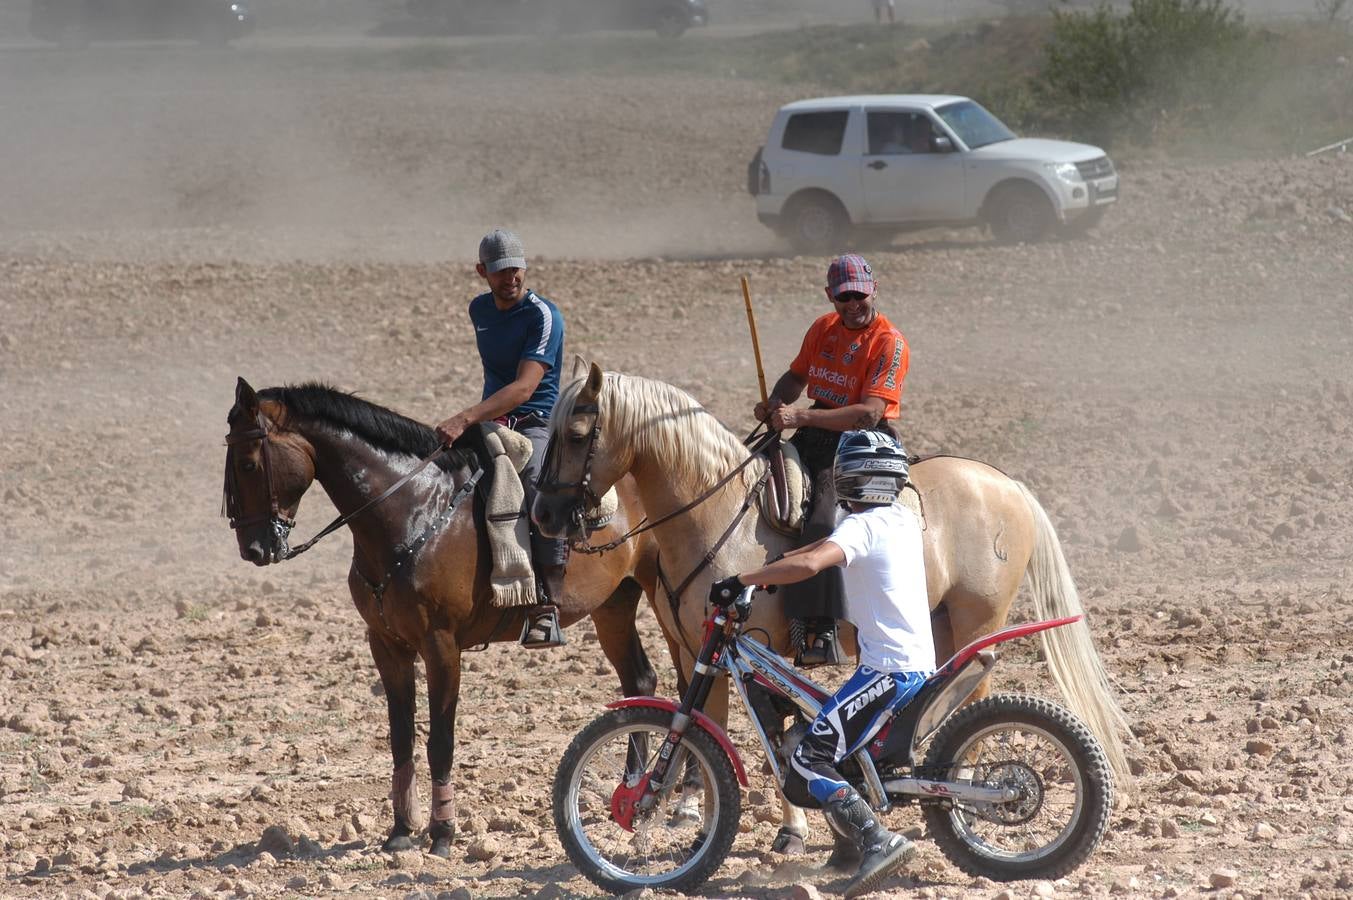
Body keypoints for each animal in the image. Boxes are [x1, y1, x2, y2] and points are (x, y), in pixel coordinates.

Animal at [223, 378, 660, 855]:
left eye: (248, 463)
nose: (254, 549)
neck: (413, 511)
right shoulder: (387, 644)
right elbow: (401, 737)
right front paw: (400, 829)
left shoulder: (441, 646)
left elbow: (440, 741)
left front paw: (443, 832)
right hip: (615, 606)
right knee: (640, 681)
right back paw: (635, 791)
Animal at [533, 362, 1136, 849]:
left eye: (577, 432)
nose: (543, 515)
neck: (716, 514)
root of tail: (1007, 484)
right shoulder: (696, 648)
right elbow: (708, 724)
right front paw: (694, 817)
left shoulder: (756, 645)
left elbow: (770, 735)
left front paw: (792, 830)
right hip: (941, 623)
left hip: (976, 618)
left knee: (975, 697)